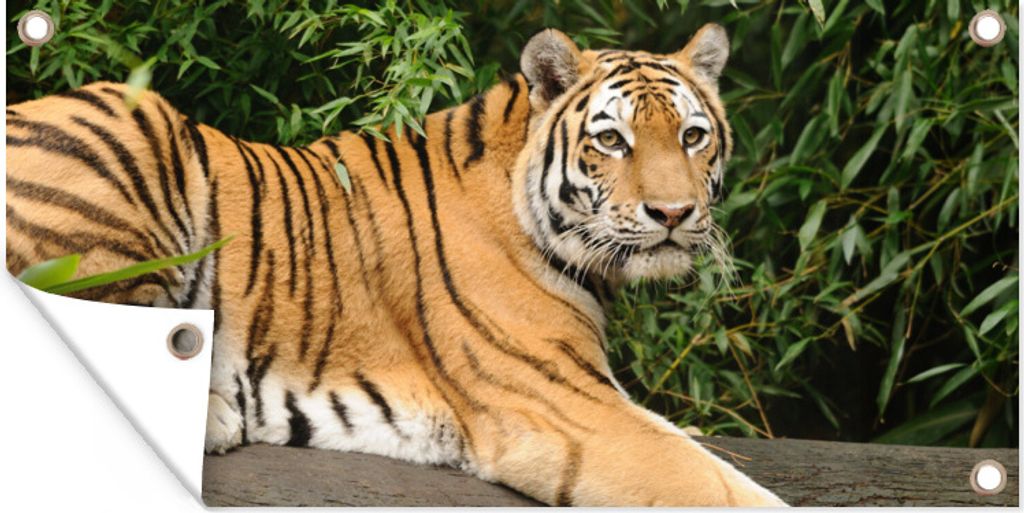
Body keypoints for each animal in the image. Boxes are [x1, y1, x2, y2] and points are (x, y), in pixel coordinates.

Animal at [5, 24, 786, 506]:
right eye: (612, 141)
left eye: (693, 136)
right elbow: (718, 485)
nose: (673, 213)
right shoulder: (564, 404)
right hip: (134, 132)